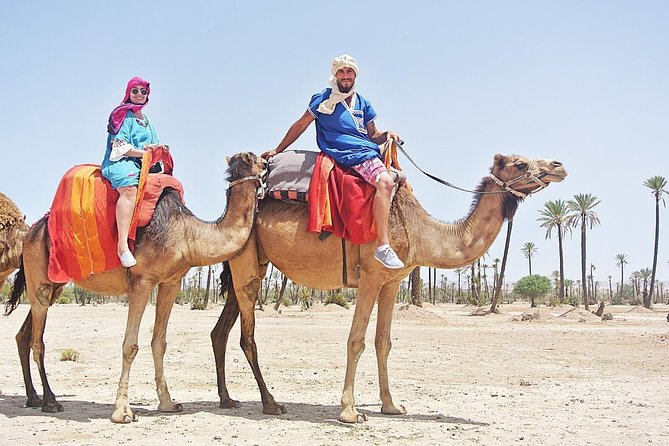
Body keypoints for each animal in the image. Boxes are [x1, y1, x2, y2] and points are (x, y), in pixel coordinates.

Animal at [211, 152, 568, 422]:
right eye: (520, 163)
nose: (558, 166)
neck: (418, 230)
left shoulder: (393, 281)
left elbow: (383, 342)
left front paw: (392, 406)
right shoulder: (371, 276)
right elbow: (356, 341)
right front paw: (350, 411)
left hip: (251, 261)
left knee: (221, 331)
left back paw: (228, 399)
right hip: (246, 263)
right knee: (246, 336)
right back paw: (270, 403)